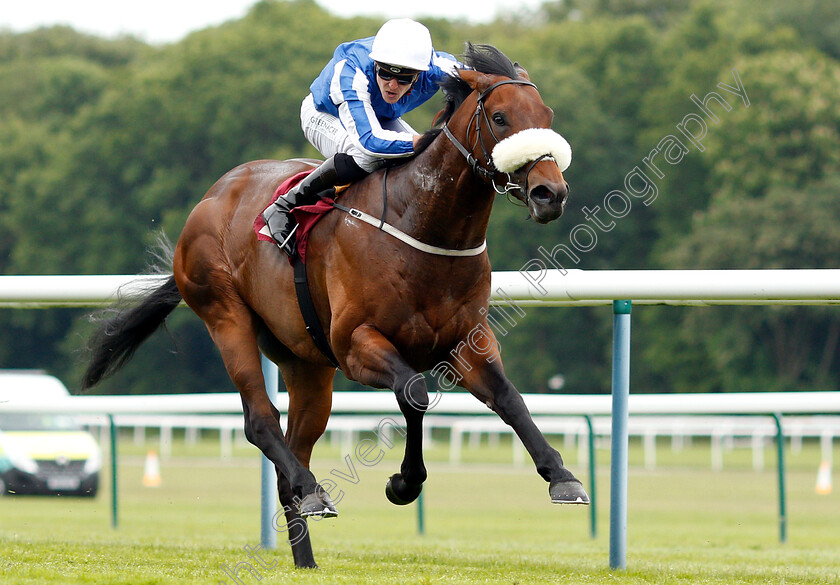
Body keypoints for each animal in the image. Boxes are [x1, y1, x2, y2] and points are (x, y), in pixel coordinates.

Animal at [82, 43, 588, 568]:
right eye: (501, 116)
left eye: (547, 116)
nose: (550, 193)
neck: (423, 226)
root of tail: (211, 198)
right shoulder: (354, 344)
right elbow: (413, 391)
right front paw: (404, 483)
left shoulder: (467, 341)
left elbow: (509, 399)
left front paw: (562, 477)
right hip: (225, 315)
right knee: (260, 421)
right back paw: (313, 490)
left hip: (304, 362)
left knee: (293, 449)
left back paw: (306, 547)